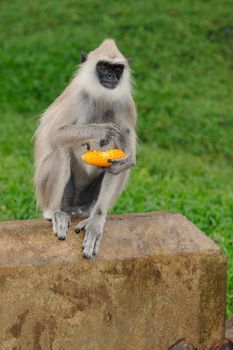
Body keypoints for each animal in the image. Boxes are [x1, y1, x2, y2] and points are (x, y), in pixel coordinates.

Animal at [33, 38, 137, 258]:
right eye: (103, 66)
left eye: (117, 68)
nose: (110, 76)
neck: (101, 95)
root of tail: (75, 208)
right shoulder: (77, 96)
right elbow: (54, 134)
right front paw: (99, 130)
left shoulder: (125, 102)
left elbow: (125, 151)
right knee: (61, 151)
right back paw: (54, 213)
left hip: (88, 202)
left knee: (117, 167)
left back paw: (96, 218)